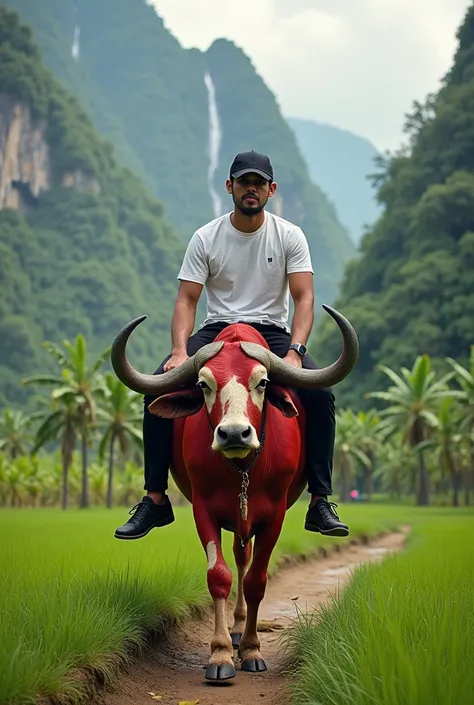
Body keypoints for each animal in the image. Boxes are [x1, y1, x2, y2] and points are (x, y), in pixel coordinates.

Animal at [110, 306, 356, 680]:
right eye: (203, 384)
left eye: (263, 382)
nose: (235, 434)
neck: (241, 468)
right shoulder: (202, 508)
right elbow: (219, 575)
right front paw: (221, 654)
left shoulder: (275, 514)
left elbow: (257, 580)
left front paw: (252, 649)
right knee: (239, 558)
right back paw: (235, 631)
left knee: (246, 560)